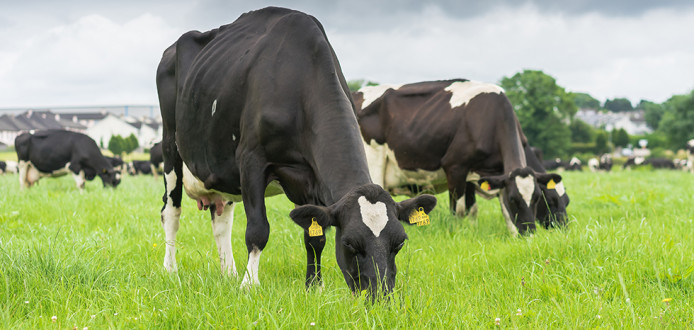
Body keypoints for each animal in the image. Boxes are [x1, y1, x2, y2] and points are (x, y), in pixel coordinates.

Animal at [157, 7, 436, 296]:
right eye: (349, 243)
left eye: (400, 242)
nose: (380, 296)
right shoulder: (251, 160)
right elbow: (258, 229)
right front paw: (250, 284)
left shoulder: (308, 178)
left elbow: (315, 237)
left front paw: (314, 286)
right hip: (170, 146)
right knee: (171, 212)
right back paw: (171, 270)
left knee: (221, 220)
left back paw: (229, 273)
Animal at [354, 79, 560, 235]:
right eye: (514, 199)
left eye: (537, 198)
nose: (530, 234)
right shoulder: (455, 167)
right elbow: (459, 211)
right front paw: (457, 234)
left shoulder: (490, 174)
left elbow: (483, 210)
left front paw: (509, 234)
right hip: (375, 163)